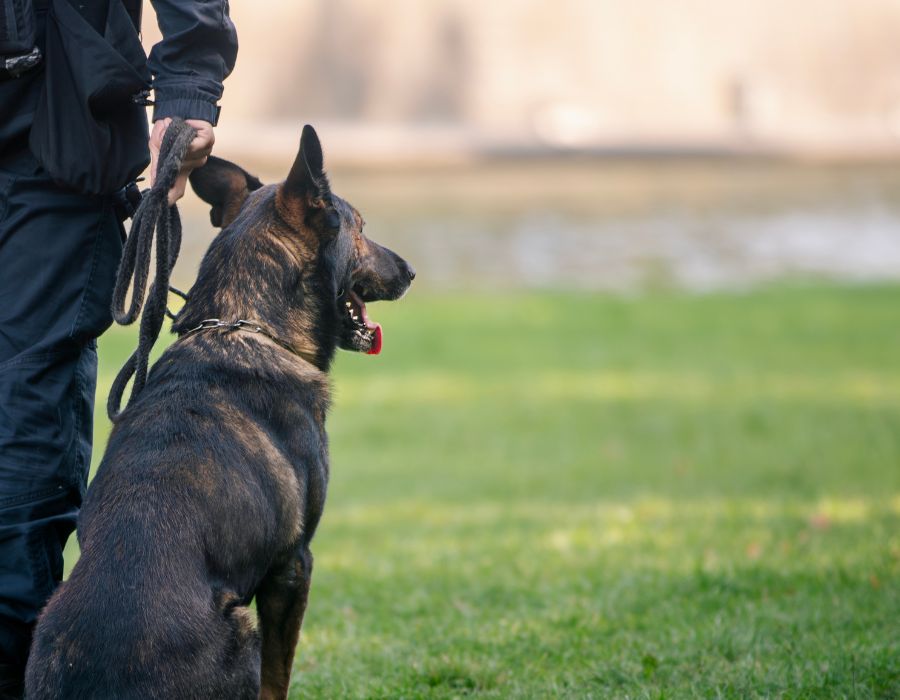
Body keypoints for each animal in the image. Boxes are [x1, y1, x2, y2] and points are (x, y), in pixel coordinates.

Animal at [23, 127, 412, 700]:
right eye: (360, 228)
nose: (411, 271)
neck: (242, 320)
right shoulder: (293, 566)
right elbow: (278, 679)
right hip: (243, 626)